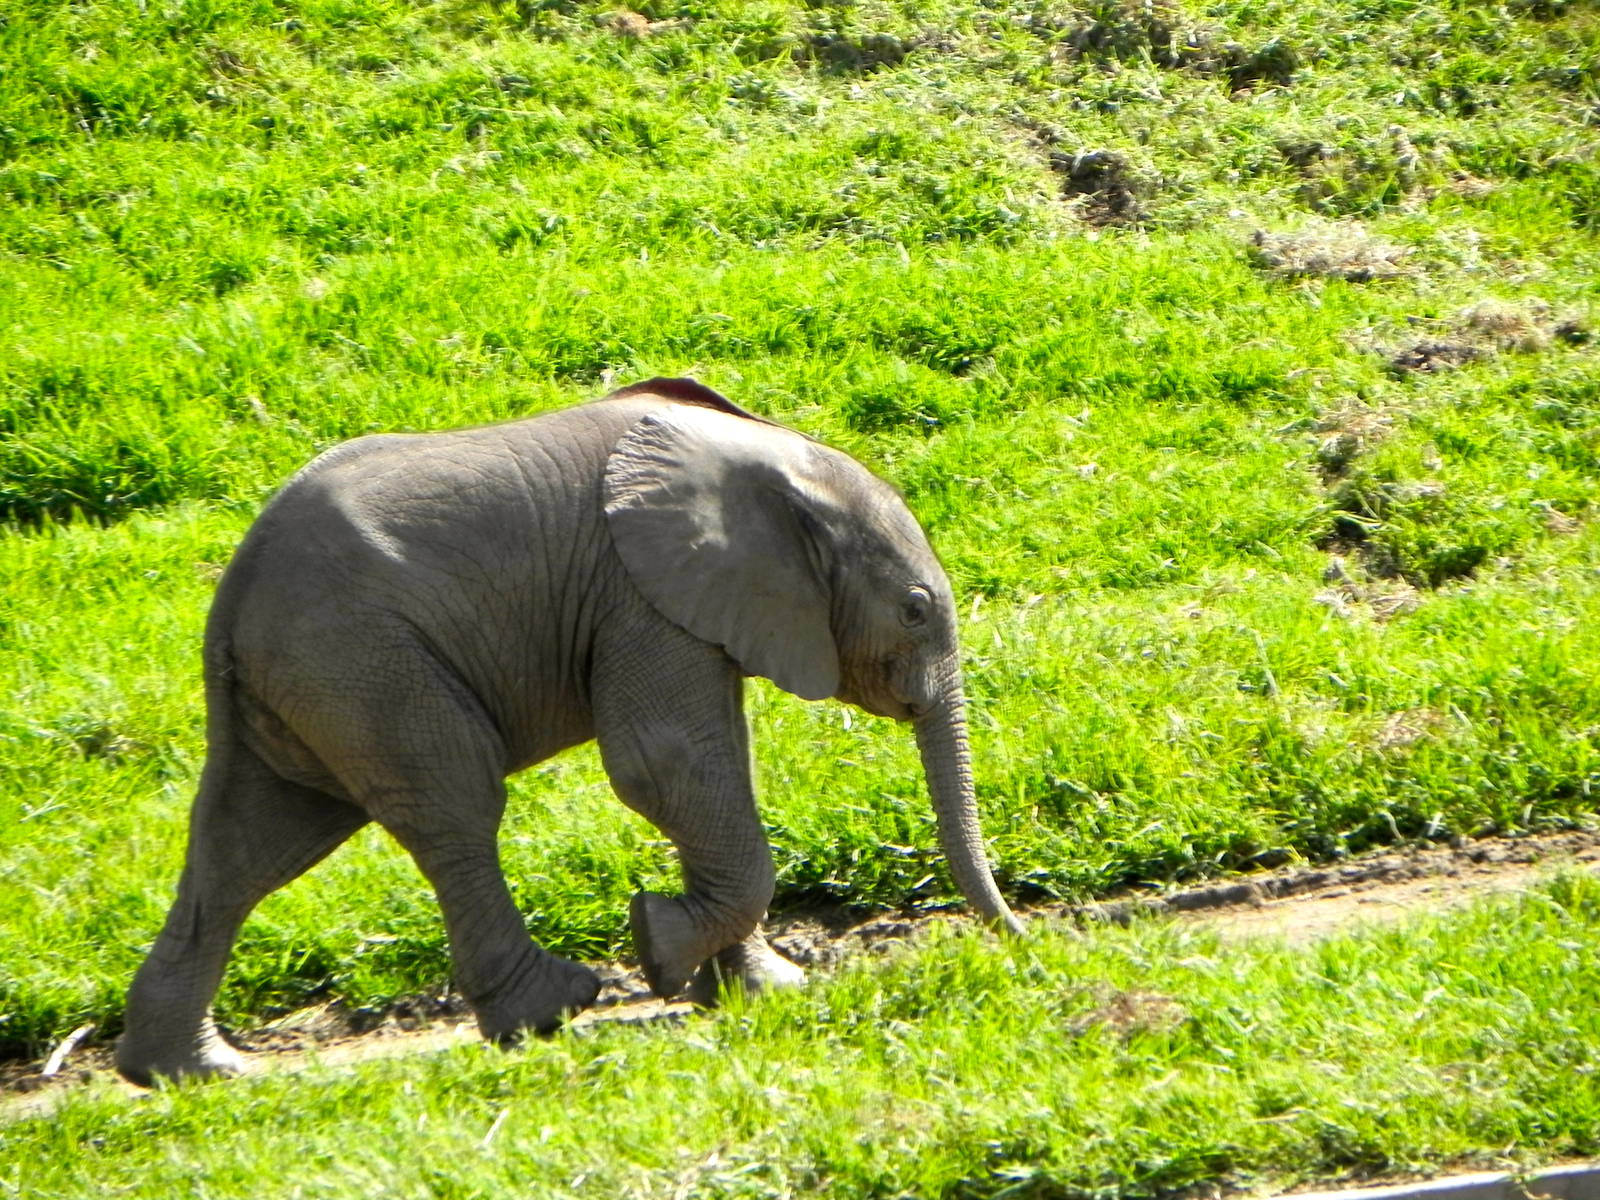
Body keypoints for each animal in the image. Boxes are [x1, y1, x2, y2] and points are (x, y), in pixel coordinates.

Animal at [116, 377, 1022, 1086]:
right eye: (915, 609)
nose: (1020, 937)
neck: (767, 460)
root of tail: (228, 604)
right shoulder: (638, 593)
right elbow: (664, 763)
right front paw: (659, 944)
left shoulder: (688, 607)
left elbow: (717, 765)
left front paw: (757, 990)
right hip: (363, 662)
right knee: (455, 805)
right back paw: (550, 1009)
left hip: (310, 685)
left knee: (249, 848)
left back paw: (190, 1072)